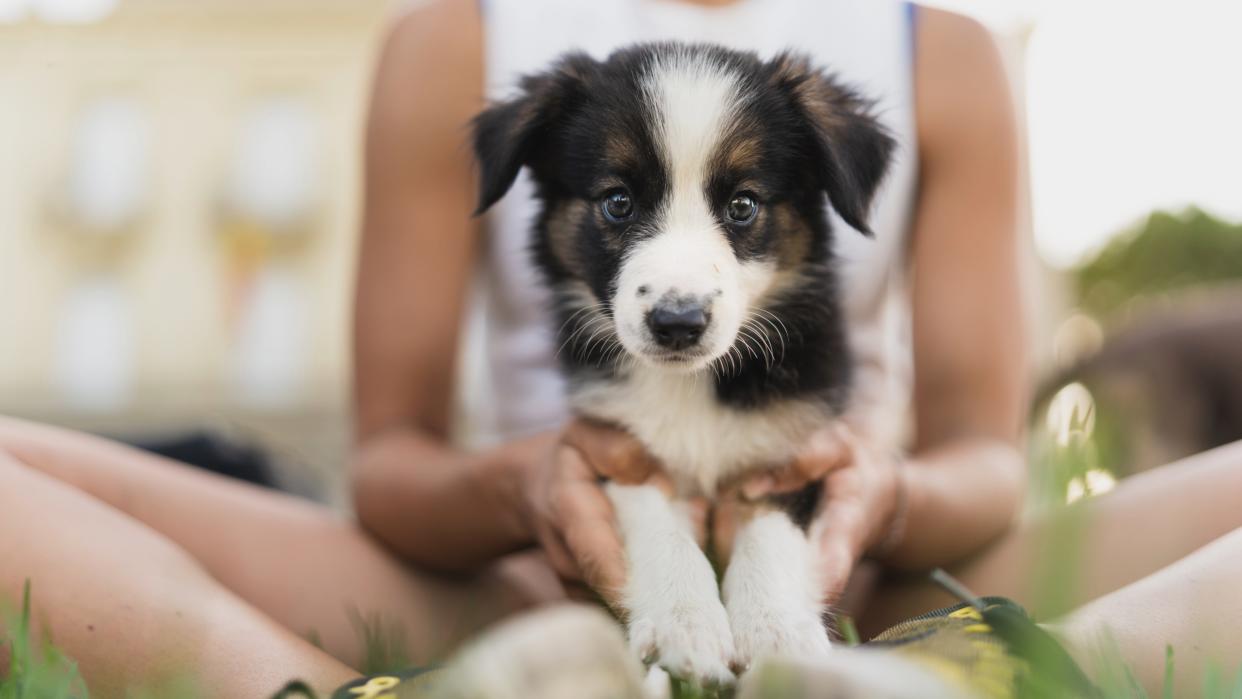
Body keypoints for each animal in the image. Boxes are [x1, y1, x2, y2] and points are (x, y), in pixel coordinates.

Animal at [471, 42, 894, 685]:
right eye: (617, 202)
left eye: (742, 205)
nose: (677, 322)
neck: (689, 385)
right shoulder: (617, 448)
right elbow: (658, 524)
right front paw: (685, 624)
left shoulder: (791, 449)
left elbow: (769, 533)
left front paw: (777, 631)